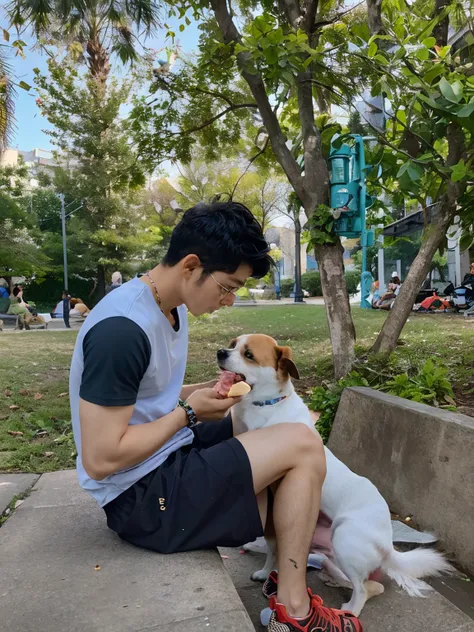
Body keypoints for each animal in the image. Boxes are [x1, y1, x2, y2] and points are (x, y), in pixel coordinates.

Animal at [217, 336, 454, 616]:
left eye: (249, 354)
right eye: (233, 344)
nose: (220, 352)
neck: (267, 406)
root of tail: (386, 541)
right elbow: (274, 550)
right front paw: (266, 573)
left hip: (344, 538)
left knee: (362, 589)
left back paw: (349, 609)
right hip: (329, 553)